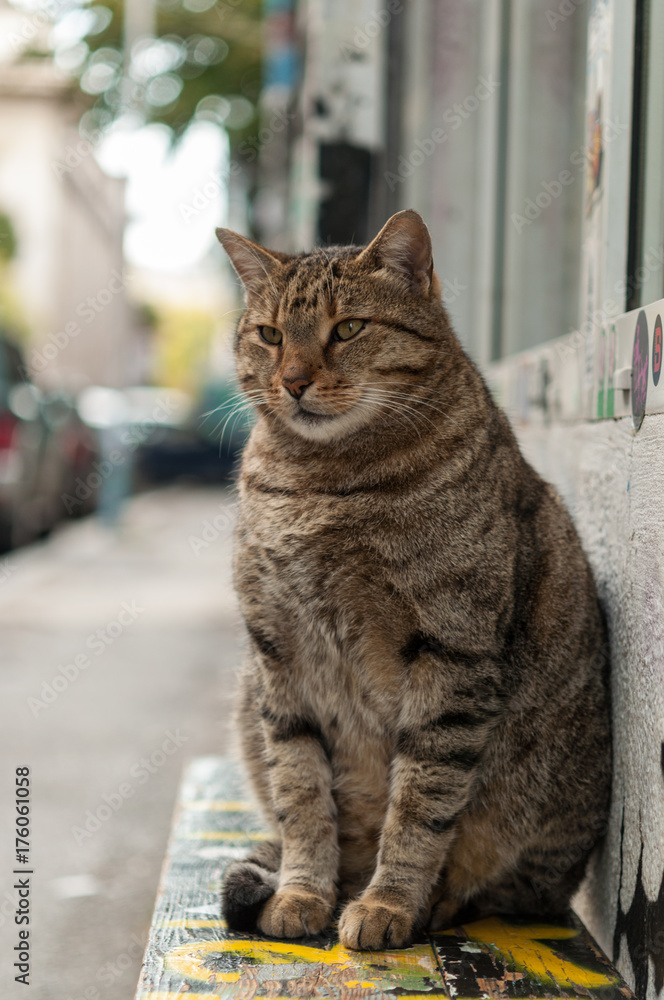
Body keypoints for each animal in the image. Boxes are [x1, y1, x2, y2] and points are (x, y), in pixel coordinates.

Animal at [215, 207, 608, 948]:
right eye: (270, 335)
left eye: (348, 329)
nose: (293, 381)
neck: (323, 482)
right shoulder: (278, 655)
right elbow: (301, 793)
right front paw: (304, 892)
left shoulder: (452, 652)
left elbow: (421, 804)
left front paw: (388, 904)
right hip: (248, 691)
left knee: (495, 879)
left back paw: (429, 903)